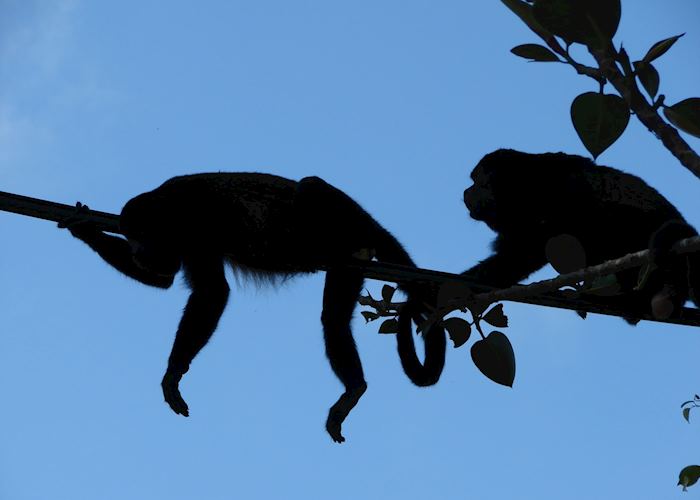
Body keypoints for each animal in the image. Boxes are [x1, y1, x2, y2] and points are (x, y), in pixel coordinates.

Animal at [59, 173, 444, 443]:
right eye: (130, 238)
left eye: (141, 235)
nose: (138, 252)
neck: (168, 204)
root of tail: (368, 226)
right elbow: (165, 278)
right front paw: (85, 230)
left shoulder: (194, 225)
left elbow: (213, 293)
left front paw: (173, 373)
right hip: (353, 259)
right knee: (333, 319)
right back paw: (354, 388)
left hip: (346, 229)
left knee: (311, 186)